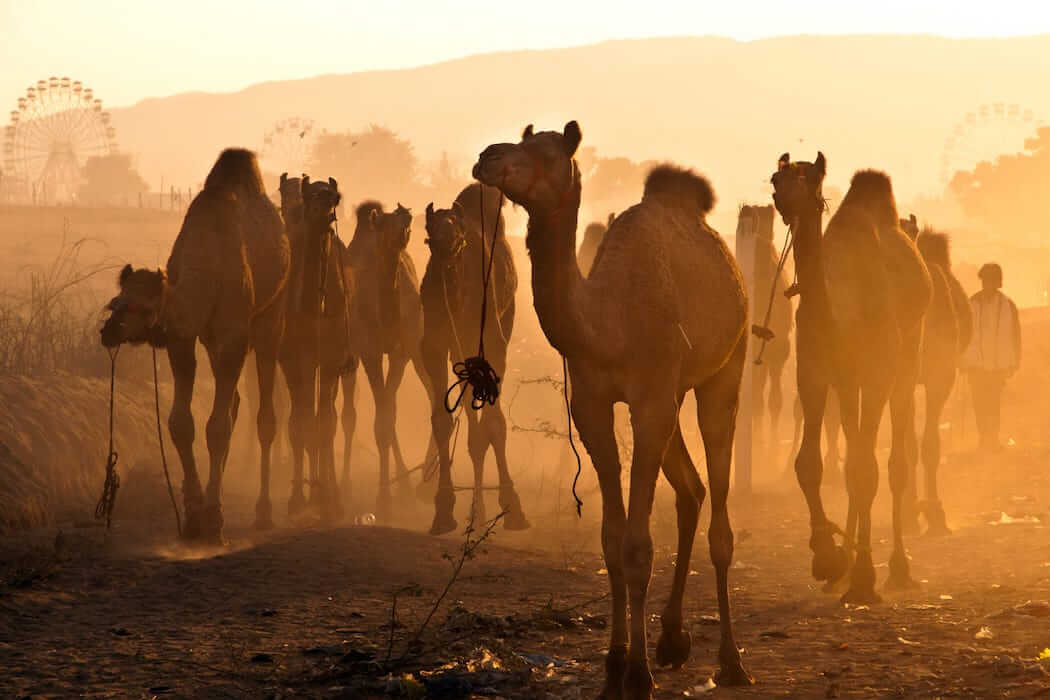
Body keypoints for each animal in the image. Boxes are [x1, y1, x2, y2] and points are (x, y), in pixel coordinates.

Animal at [100, 148, 290, 541]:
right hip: (214, 341)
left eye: (143, 307)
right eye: (115, 302)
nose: (108, 332)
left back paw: (263, 512)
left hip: (271, 318)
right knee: (233, 404)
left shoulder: (233, 333)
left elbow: (217, 427)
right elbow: (181, 423)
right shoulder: (182, 338)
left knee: (265, 414)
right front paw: (192, 515)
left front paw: (214, 520)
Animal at [344, 201, 434, 523]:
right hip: (350, 353)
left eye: (405, 219)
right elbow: (381, 422)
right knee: (351, 414)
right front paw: (384, 500)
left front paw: (392, 496)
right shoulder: (370, 351)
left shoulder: (402, 351)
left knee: (422, 399)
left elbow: (387, 418)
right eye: (383, 224)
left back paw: (414, 486)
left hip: (417, 352)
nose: (403, 228)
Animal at [421, 183, 529, 535]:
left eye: (460, 234)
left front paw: (514, 508)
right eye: (428, 234)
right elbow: (443, 422)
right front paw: (443, 510)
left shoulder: (493, 344)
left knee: (481, 429)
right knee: (472, 427)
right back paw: (475, 513)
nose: (446, 246)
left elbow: (494, 425)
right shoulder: (434, 346)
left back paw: (482, 512)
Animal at [474, 122, 752, 698]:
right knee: (691, 490)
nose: (488, 156)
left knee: (718, 508)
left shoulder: (649, 399)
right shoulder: (593, 406)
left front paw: (638, 676)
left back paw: (731, 661)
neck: (609, 324)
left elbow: (636, 546)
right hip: (674, 395)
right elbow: (609, 542)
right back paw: (673, 641)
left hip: (724, 371)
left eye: (546, 152)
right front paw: (614, 669)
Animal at [771, 153, 932, 603]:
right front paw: (828, 558)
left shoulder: (877, 372)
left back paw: (896, 568)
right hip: (848, 383)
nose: (783, 195)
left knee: (893, 463)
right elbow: (810, 463)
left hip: (904, 363)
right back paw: (846, 564)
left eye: (811, 180)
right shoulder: (813, 372)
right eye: (778, 178)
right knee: (854, 447)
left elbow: (867, 468)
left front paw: (862, 577)